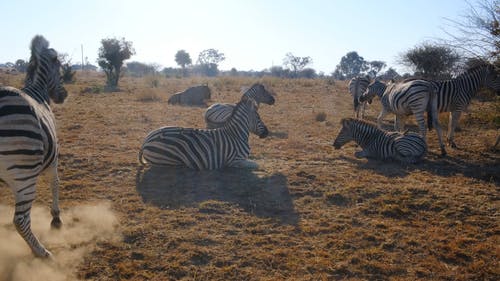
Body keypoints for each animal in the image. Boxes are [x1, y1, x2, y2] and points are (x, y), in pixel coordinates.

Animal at [0, 34, 67, 256]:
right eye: (59, 65)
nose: (63, 95)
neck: (38, 90)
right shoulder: (54, 156)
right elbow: (55, 182)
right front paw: (56, 218)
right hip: (25, 172)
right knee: (20, 220)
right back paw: (41, 252)